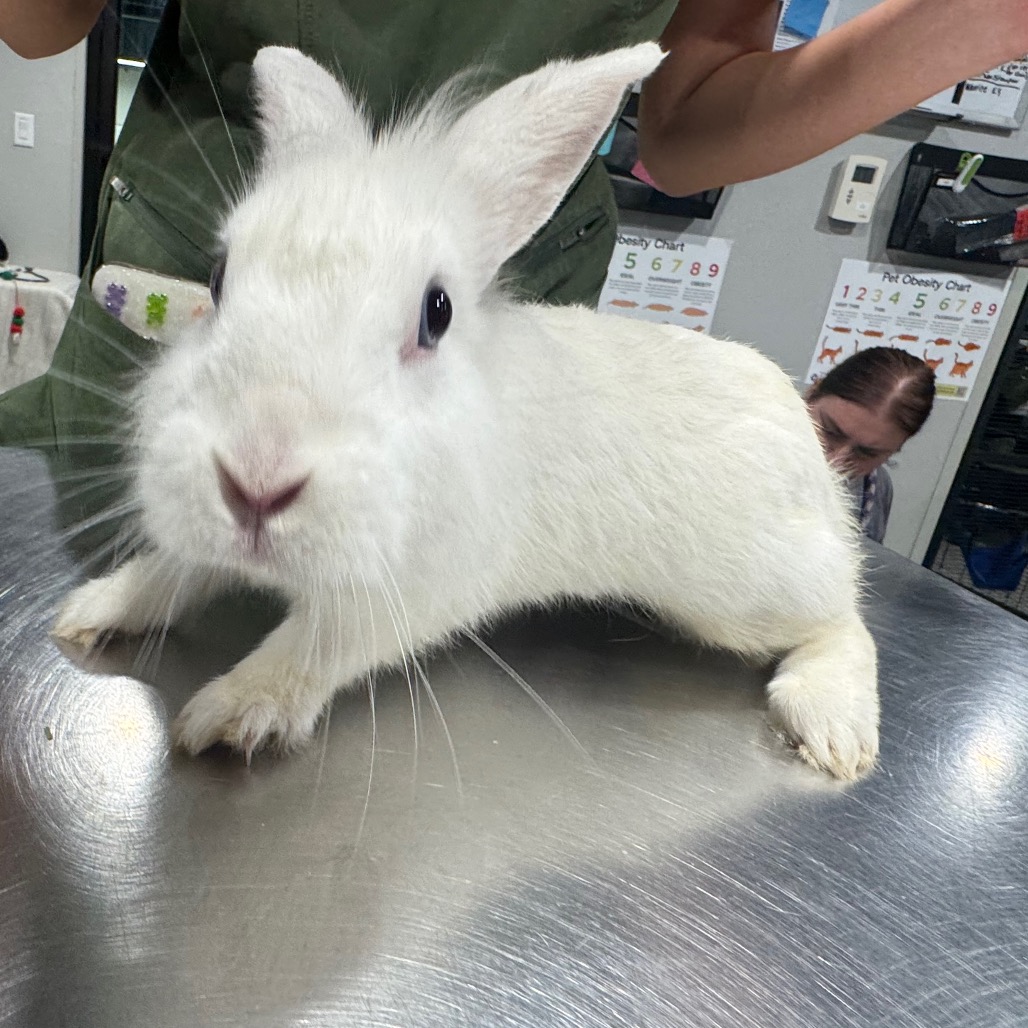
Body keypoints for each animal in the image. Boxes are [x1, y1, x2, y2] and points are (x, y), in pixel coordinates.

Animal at [53, 42, 879, 780]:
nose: (255, 480)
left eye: (437, 312)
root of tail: (815, 459)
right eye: (219, 279)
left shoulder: (407, 592)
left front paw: (232, 712)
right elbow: (170, 573)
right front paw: (93, 608)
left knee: (848, 618)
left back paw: (832, 726)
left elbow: (312, 645)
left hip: (751, 593)